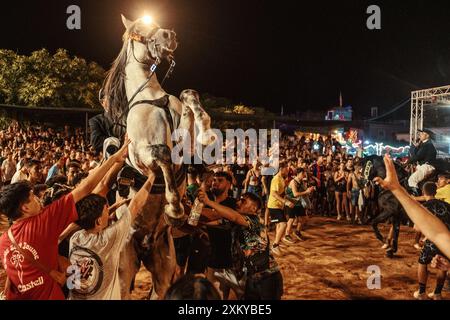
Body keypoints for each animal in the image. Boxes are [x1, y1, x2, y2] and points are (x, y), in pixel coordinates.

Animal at [102, 14, 214, 300]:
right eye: (138, 30)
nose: (168, 35)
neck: (150, 96)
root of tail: (143, 246)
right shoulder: (142, 156)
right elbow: (162, 153)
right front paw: (175, 208)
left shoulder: (186, 153)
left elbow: (188, 97)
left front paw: (205, 131)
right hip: (124, 268)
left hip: (163, 266)